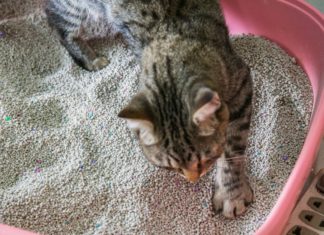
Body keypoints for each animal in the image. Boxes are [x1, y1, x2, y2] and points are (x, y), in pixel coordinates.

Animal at [45, 0, 253, 218]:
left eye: (205, 159)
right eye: (172, 168)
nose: (193, 179)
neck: (171, 41)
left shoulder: (241, 84)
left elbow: (232, 150)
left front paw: (232, 194)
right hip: (79, 9)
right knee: (58, 24)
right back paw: (90, 58)